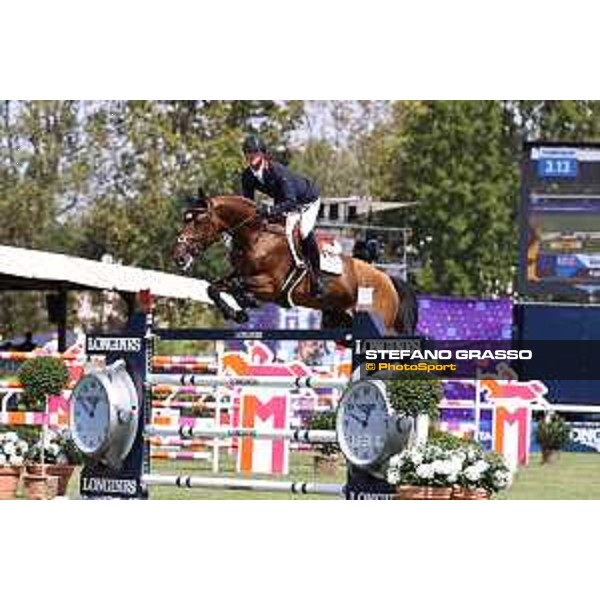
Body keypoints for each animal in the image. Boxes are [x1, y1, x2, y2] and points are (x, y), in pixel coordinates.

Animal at [171, 197, 420, 338]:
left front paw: (244, 304)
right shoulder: (240, 274)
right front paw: (237, 312)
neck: (255, 236)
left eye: (198, 221)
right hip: (338, 321)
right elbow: (213, 287)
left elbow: (237, 285)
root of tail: (388, 279)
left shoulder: (271, 286)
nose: (178, 257)